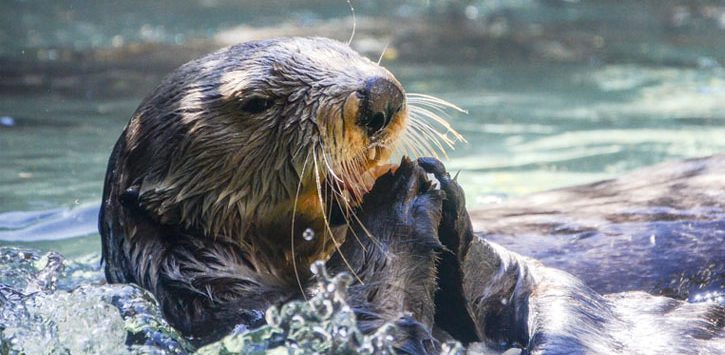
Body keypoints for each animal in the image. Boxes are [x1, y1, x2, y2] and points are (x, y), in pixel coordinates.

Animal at [99, 36, 720, 354]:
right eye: (255, 102)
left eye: (344, 50)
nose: (381, 94)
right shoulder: (232, 311)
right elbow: (383, 325)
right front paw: (396, 200)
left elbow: (534, 285)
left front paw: (442, 189)